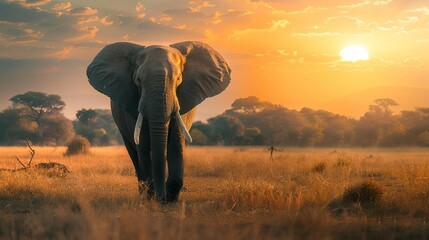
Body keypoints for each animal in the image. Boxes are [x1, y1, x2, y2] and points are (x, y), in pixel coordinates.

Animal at [85, 41, 229, 202]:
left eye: (178, 79)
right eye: (138, 81)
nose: (162, 198)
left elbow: (175, 143)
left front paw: (170, 202)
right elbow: (143, 145)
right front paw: (152, 200)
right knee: (135, 154)